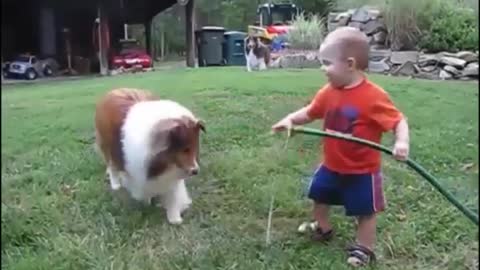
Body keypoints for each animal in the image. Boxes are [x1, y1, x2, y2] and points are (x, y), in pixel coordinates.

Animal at [94, 88, 205, 224]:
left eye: (195, 148)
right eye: (185, 149)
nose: (196, 171)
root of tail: (114, 90)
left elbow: (172, 195)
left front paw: (174, 218)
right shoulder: (139, 170)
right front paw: (147, 201)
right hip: (108, 149)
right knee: (112, 167)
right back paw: (115, 185)